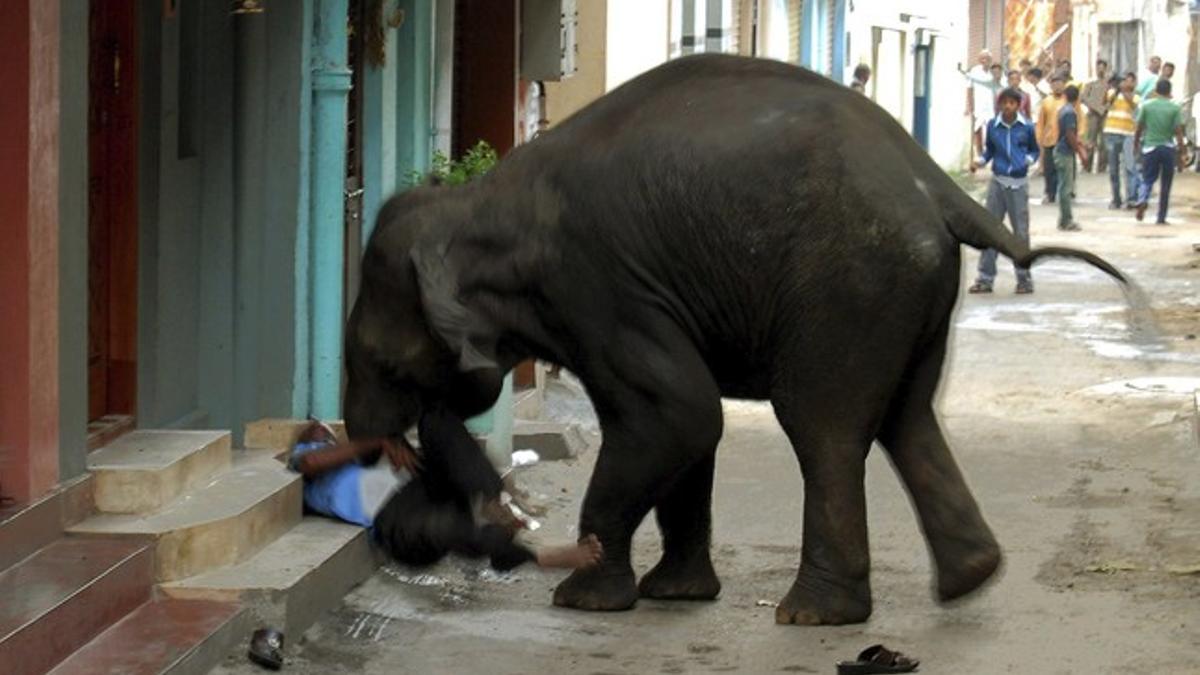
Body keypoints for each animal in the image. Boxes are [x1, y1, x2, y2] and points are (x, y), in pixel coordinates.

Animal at [343, 55, 1128, 624]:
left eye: (380, 362)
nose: (384, 444)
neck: (481, 203)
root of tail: (935, 183)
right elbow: (688, 429)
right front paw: (674, 595)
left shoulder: (598, 288)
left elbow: (678, 414)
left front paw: (586, 599)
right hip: (913, 291)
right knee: (909, 418)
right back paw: (969, 580)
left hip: (852, 284)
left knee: (823, 428)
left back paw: (814, 615)